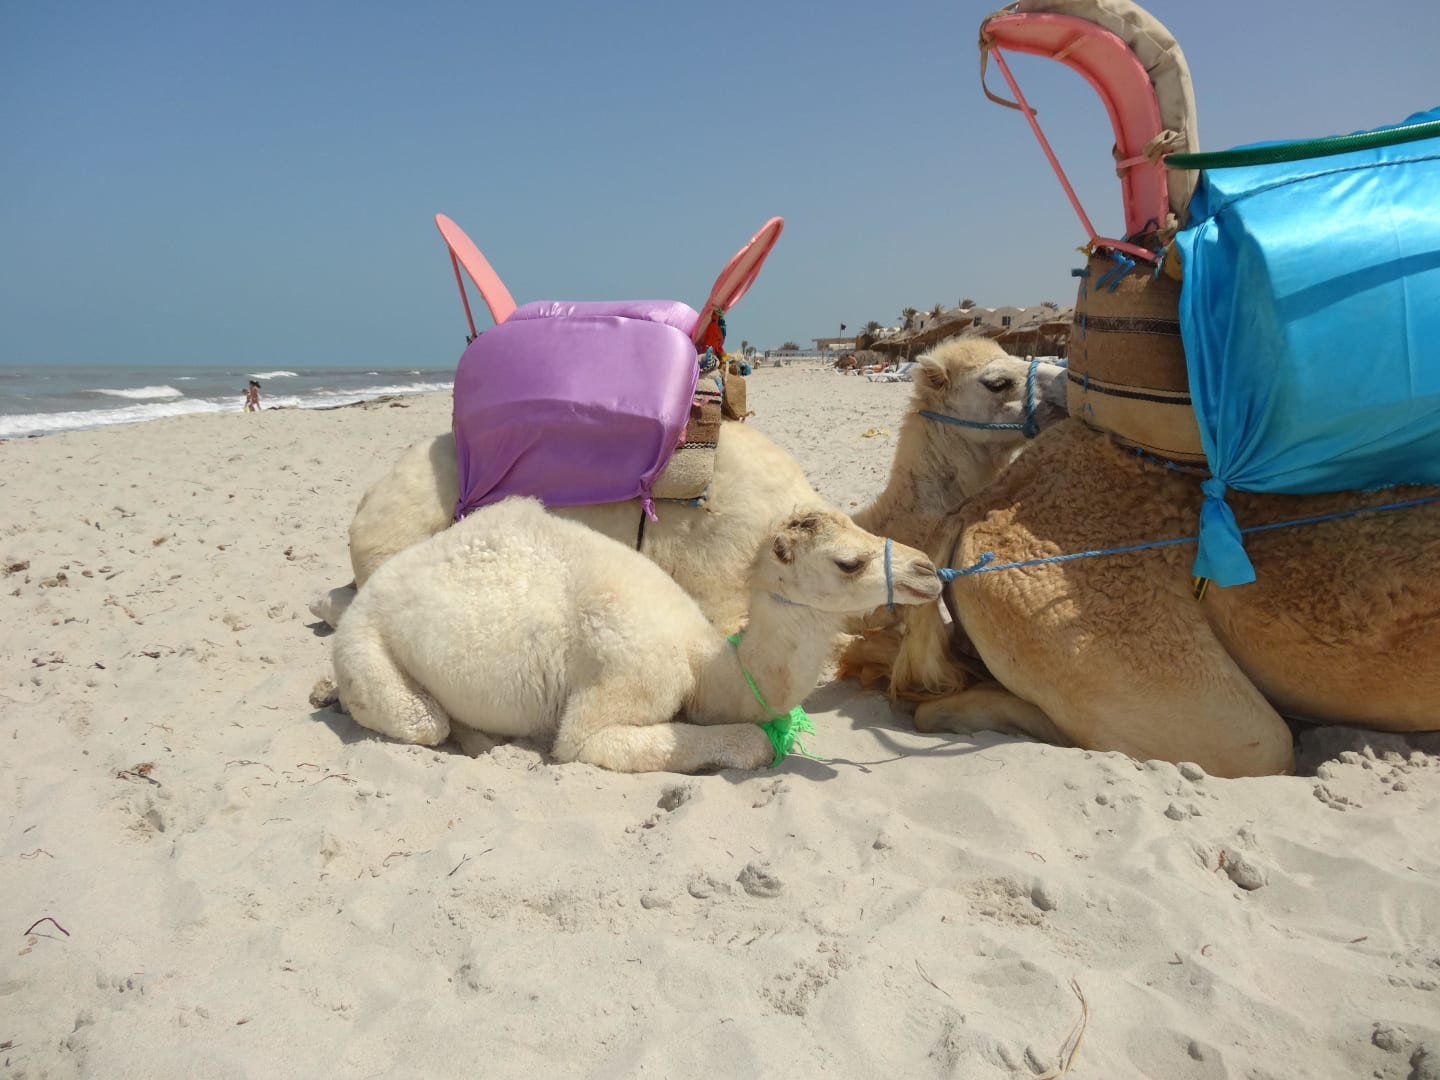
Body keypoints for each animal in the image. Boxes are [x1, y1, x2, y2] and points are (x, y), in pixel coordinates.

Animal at [331, 497, 941, 773]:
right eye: (848, 562)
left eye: (863, 526)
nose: (929, 570)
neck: (703, 664)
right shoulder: (628, 683)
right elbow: (748, 739)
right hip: (364, 647)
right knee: (424, 721)